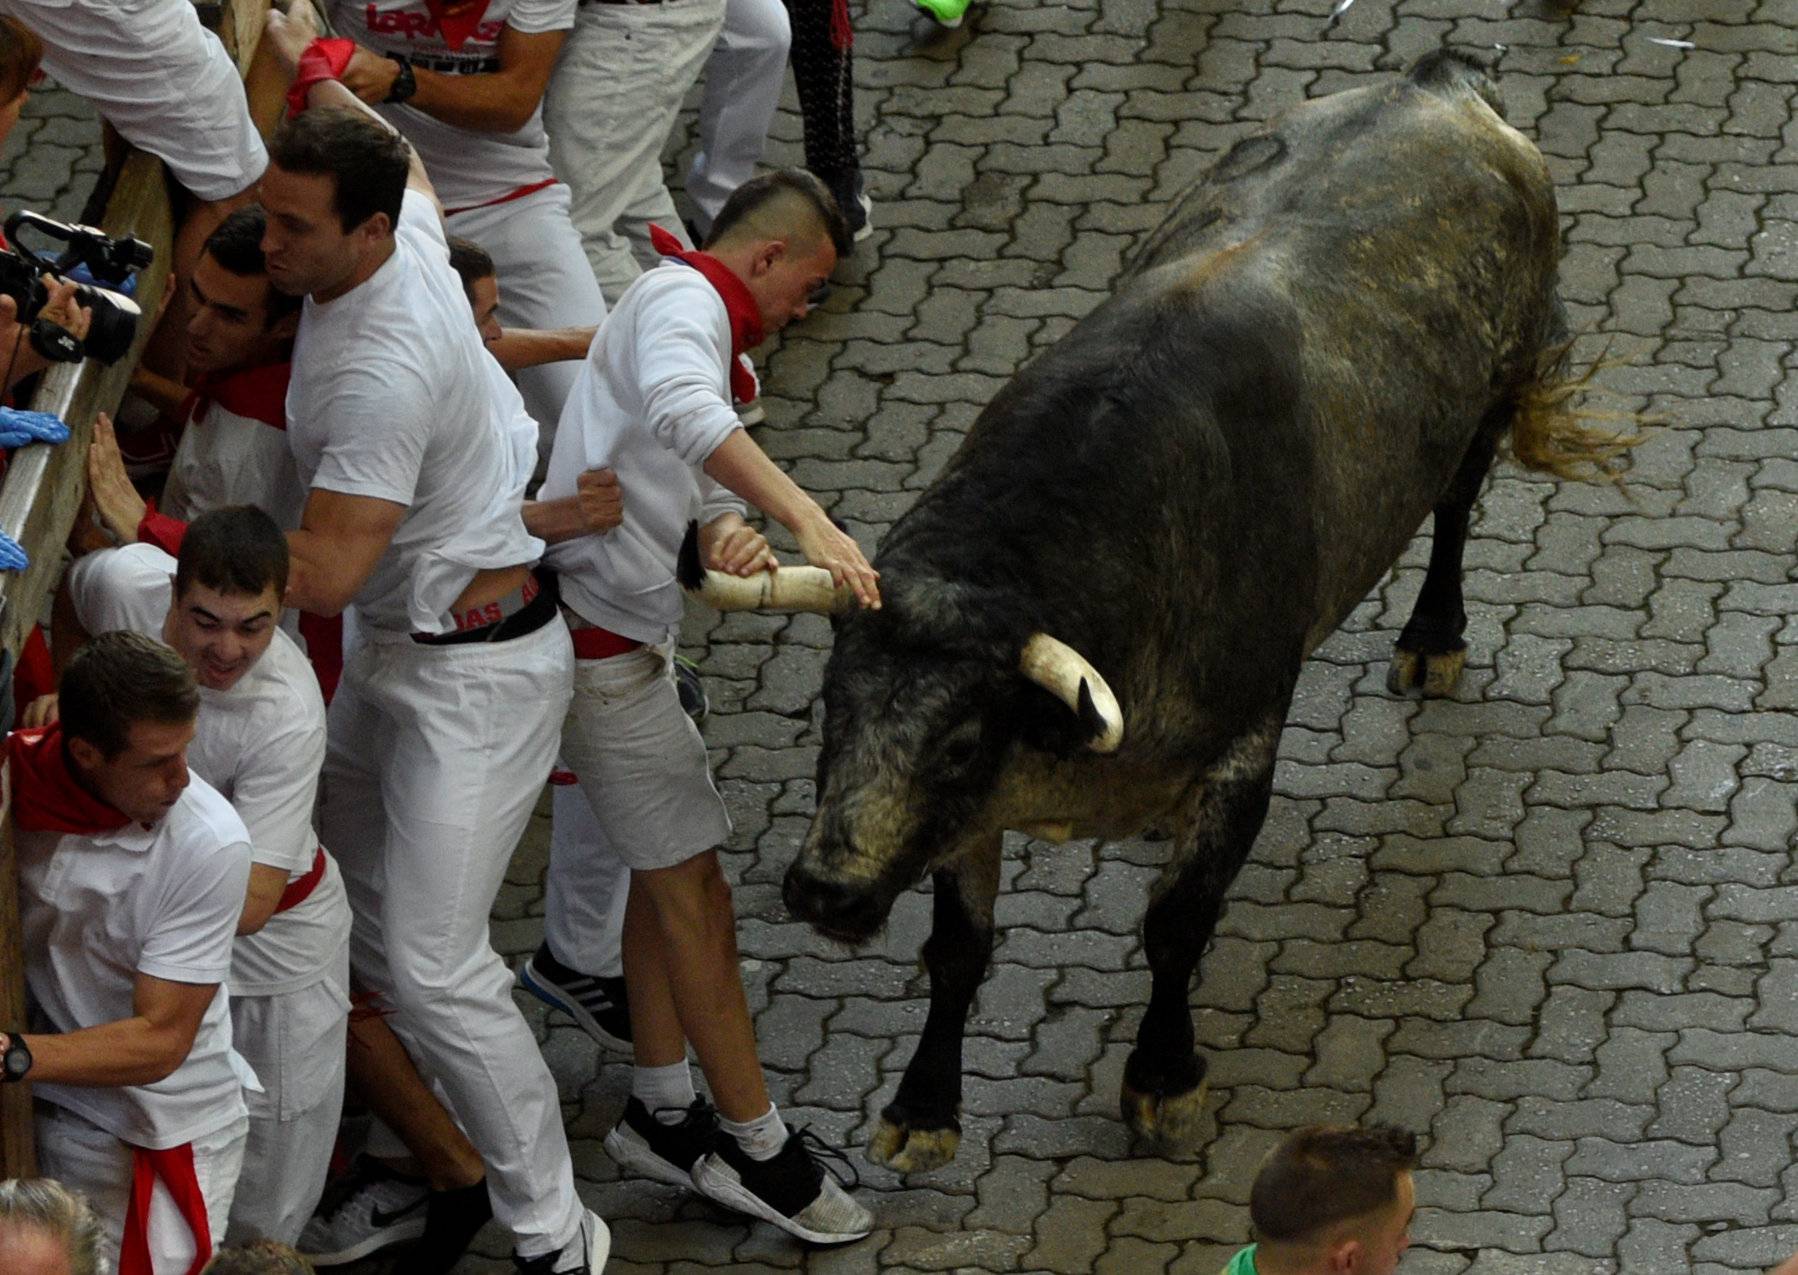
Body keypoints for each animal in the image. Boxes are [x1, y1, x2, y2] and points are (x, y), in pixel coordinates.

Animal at [686, 49, 1632, 1165]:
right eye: (830, 708)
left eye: (957, 743)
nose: (825, 888)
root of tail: (1440, 86)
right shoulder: (975, 816)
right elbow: (960, 944)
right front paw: (924, 1103)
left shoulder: (1241, 745)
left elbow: (1176, 924)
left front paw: (1163, 1075)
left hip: (1488, 396)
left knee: (1455, 500)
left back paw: (1433, 635)